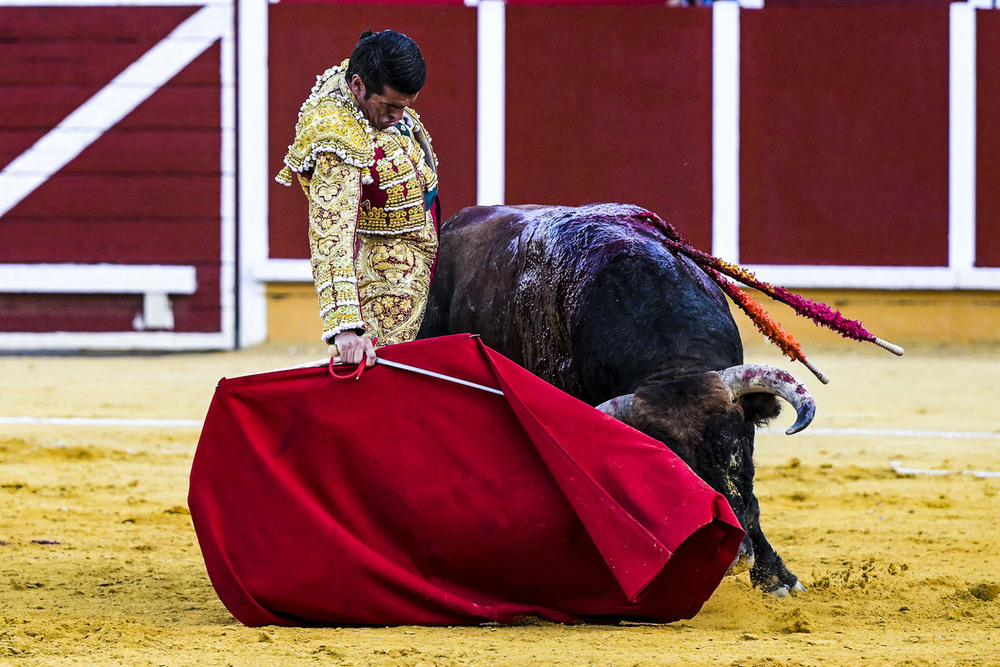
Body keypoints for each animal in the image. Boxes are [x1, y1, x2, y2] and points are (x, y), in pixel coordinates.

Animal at [418, 204, 816, 596]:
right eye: (667, 468)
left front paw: (776, 578)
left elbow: (751, 504)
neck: (671, 361)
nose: (732, 556)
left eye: (734, 450)